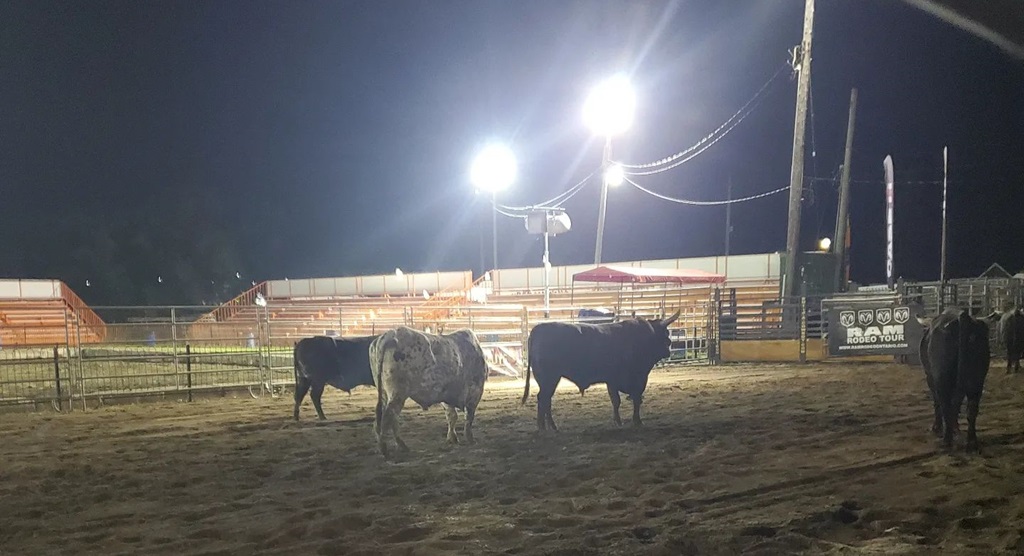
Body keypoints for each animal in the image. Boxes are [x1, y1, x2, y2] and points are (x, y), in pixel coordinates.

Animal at [369, 326, 487, 459]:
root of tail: (390, 335)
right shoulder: (475, 391)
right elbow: (468, 417)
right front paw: (470, 438)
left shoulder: (446, 395)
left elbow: (452, 416)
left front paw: (452, 438)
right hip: (398, 394)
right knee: (389, 417)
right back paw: (385, 449)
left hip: (385, 393)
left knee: (388, 419)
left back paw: (401, 446)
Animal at [521, 311, 679, 432]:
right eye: (665, 335)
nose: (668, 350)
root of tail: (537, 330)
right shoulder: (636, 378)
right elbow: (631, 400)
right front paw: (634, 421)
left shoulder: (615, 381)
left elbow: (619, 401)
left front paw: (620, 421)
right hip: (549, 378)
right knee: (544, 399)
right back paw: (545, 427)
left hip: (549, 380)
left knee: (546, 400)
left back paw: (549, 426)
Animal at [917, 309, 998, 452]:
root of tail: (962, 317)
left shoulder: (930, 378)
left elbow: (937, 402)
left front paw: (937, 427)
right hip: (977, 380)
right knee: (971, 409)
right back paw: (971, 442)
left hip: (941, 377)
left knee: (946, 404)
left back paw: (946, 441)